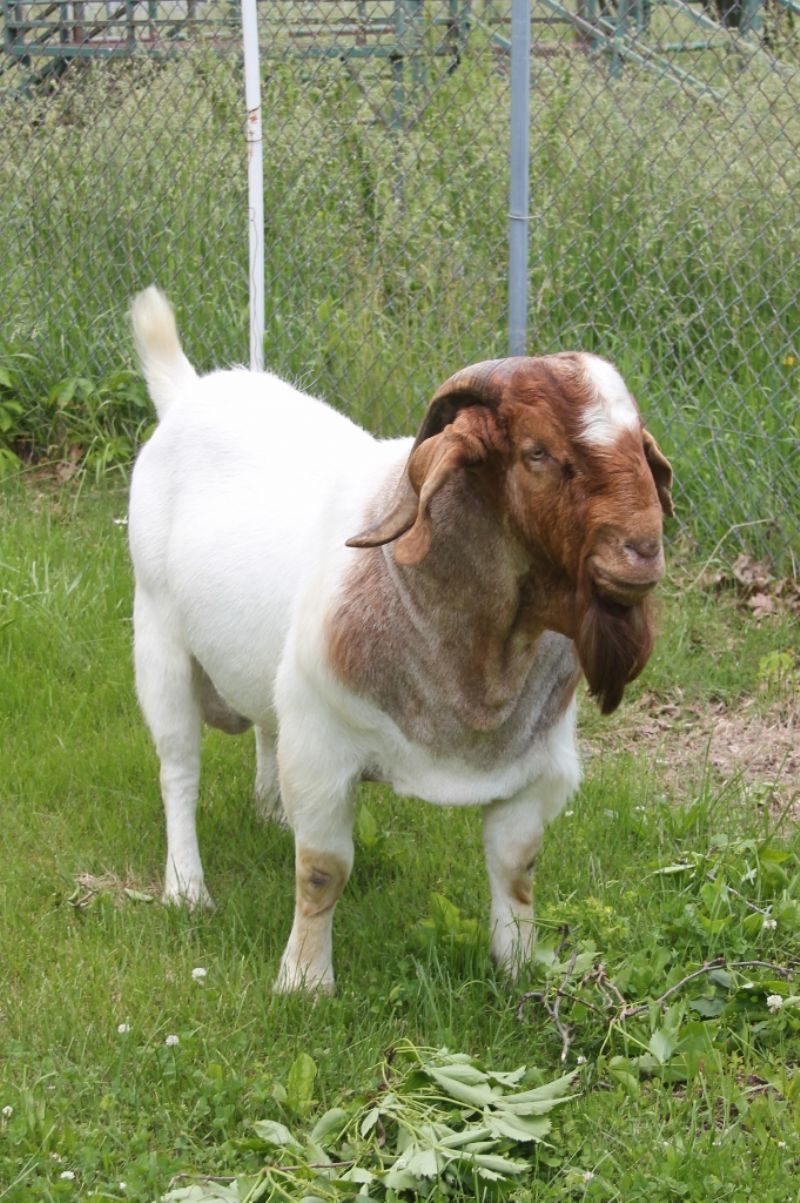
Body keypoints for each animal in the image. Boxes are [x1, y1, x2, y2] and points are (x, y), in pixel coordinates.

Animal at [128, 286, 668, 991]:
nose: (643, 551)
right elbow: (322, 871)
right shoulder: (323, 750)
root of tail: (188, 392)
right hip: (158, 636)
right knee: (178, 770)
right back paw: (187, 889)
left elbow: (517, 869)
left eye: (639, 444)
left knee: (266, 730)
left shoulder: (535, 769)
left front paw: (518, 968)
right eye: (538, 452)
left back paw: (270, 813)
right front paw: (304, 982)